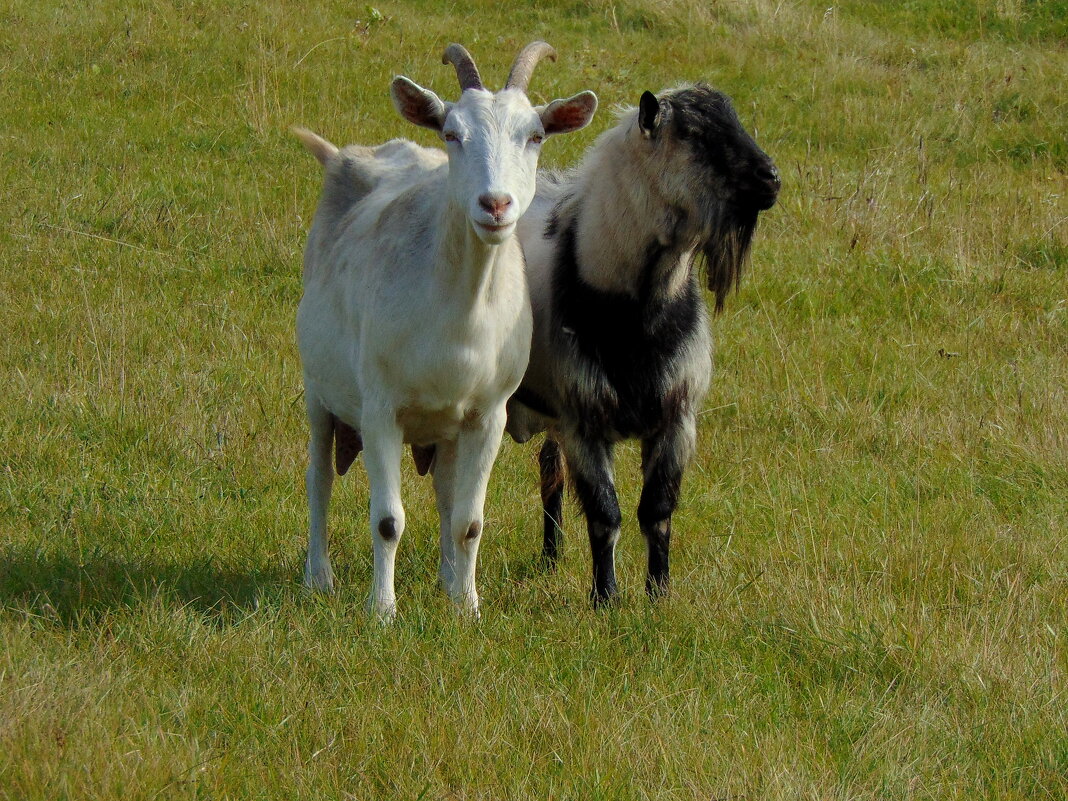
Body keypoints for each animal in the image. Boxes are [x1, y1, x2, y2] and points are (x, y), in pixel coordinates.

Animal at [294, 42, 593, 619]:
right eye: (453, 133)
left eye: (535, 135)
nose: (495, 204)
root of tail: (344, 156)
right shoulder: (380, 408)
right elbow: (387, 520)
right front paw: (382, 612)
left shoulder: (488, 415)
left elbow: (468, 520)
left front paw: (466, 607)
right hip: (319, 391)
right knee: (318, 479)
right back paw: (318, 577)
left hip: (445, 428)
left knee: (445, 494)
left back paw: (446, 579)